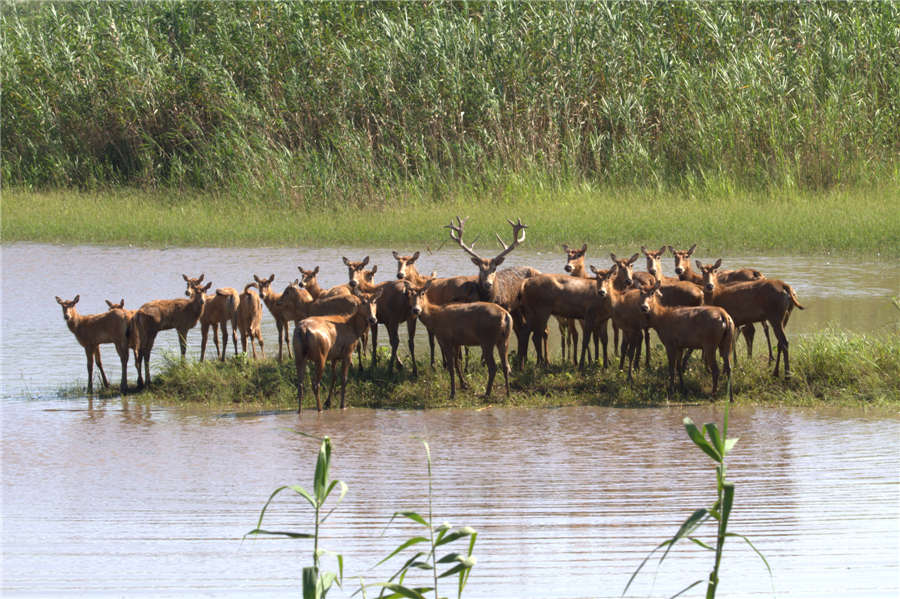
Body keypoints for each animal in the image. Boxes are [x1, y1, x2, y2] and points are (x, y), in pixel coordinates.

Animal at [446, 216, 536, 370]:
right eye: (481, 269)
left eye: (494, 268)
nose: (488, 284)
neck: (490, 298)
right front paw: (480, 363)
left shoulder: (505, 307)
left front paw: (484, 364)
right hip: (516, 309)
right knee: (523, 330)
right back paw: (521, 360)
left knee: (525, 329)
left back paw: (522, 361)